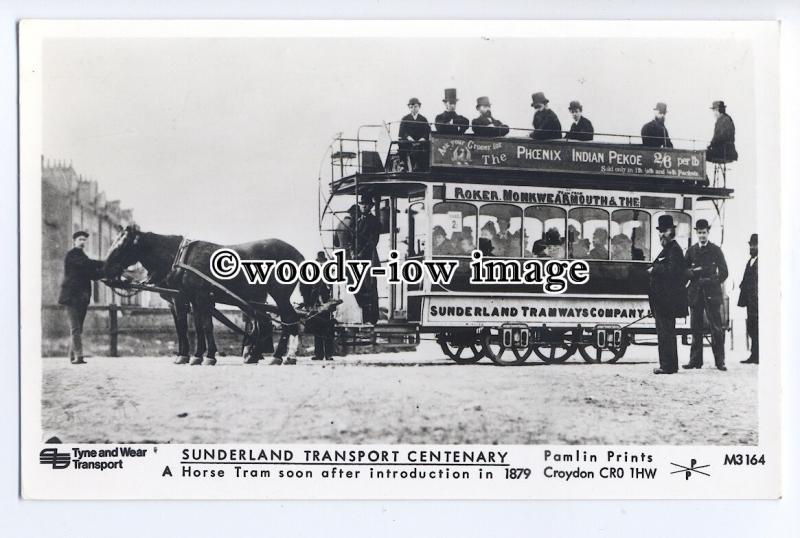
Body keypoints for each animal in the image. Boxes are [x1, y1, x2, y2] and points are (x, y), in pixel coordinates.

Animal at [103, 222, 310, 364]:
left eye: (123, 245)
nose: (105, 271)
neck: (178, 258)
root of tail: (298, 255)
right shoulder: (190, 299)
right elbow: (193, 326)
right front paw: (196, 355)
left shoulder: (195, 298)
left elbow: (200, 326)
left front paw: (200, 356)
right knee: (266, 321)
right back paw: (260, 354)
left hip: (279, 294)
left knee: (288, 320)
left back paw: (278, 356)